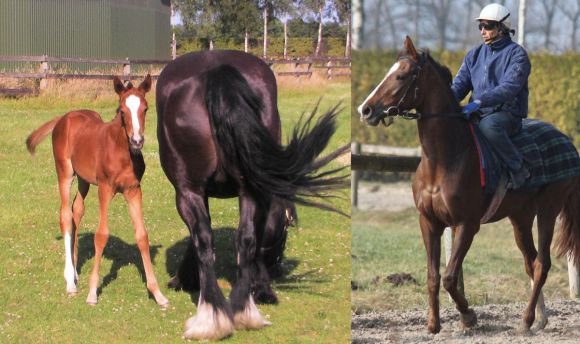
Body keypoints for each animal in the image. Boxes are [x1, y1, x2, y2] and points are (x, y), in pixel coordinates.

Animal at [27, 74, 168, 306]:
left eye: (146, 108)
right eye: (122, 110)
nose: (137, 141)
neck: (121, 151)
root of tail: (64, 118)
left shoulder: (134, 190)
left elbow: (142, 235)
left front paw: (157, 293)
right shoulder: (105, 189)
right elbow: (101, 235)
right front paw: (92, 292)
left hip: (84, 180)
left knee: (76, 210)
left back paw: (75, 272)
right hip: (65, 172)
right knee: (65, 215)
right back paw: (70, 282)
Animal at [155, 49, 348, 340]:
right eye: (287, 228)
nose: (277, 268)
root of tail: (216, 70)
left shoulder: (194, 192)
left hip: (198, 191)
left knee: (218, 239)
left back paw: (216, 315)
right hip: (234, 191)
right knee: (238, 239)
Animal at [358, 37, 580, 334]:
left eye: (401, 75)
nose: (366, 109)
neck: (446, 158)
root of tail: (568, 144)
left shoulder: (466, 224)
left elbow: (450, 276)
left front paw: (468, 317)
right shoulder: (429, 222)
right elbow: (433, 276)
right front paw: (433, 324)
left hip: (548, 210)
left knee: (542, 263)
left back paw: (525, 320)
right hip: (520, 217)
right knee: (531, 263)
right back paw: (539, 318)